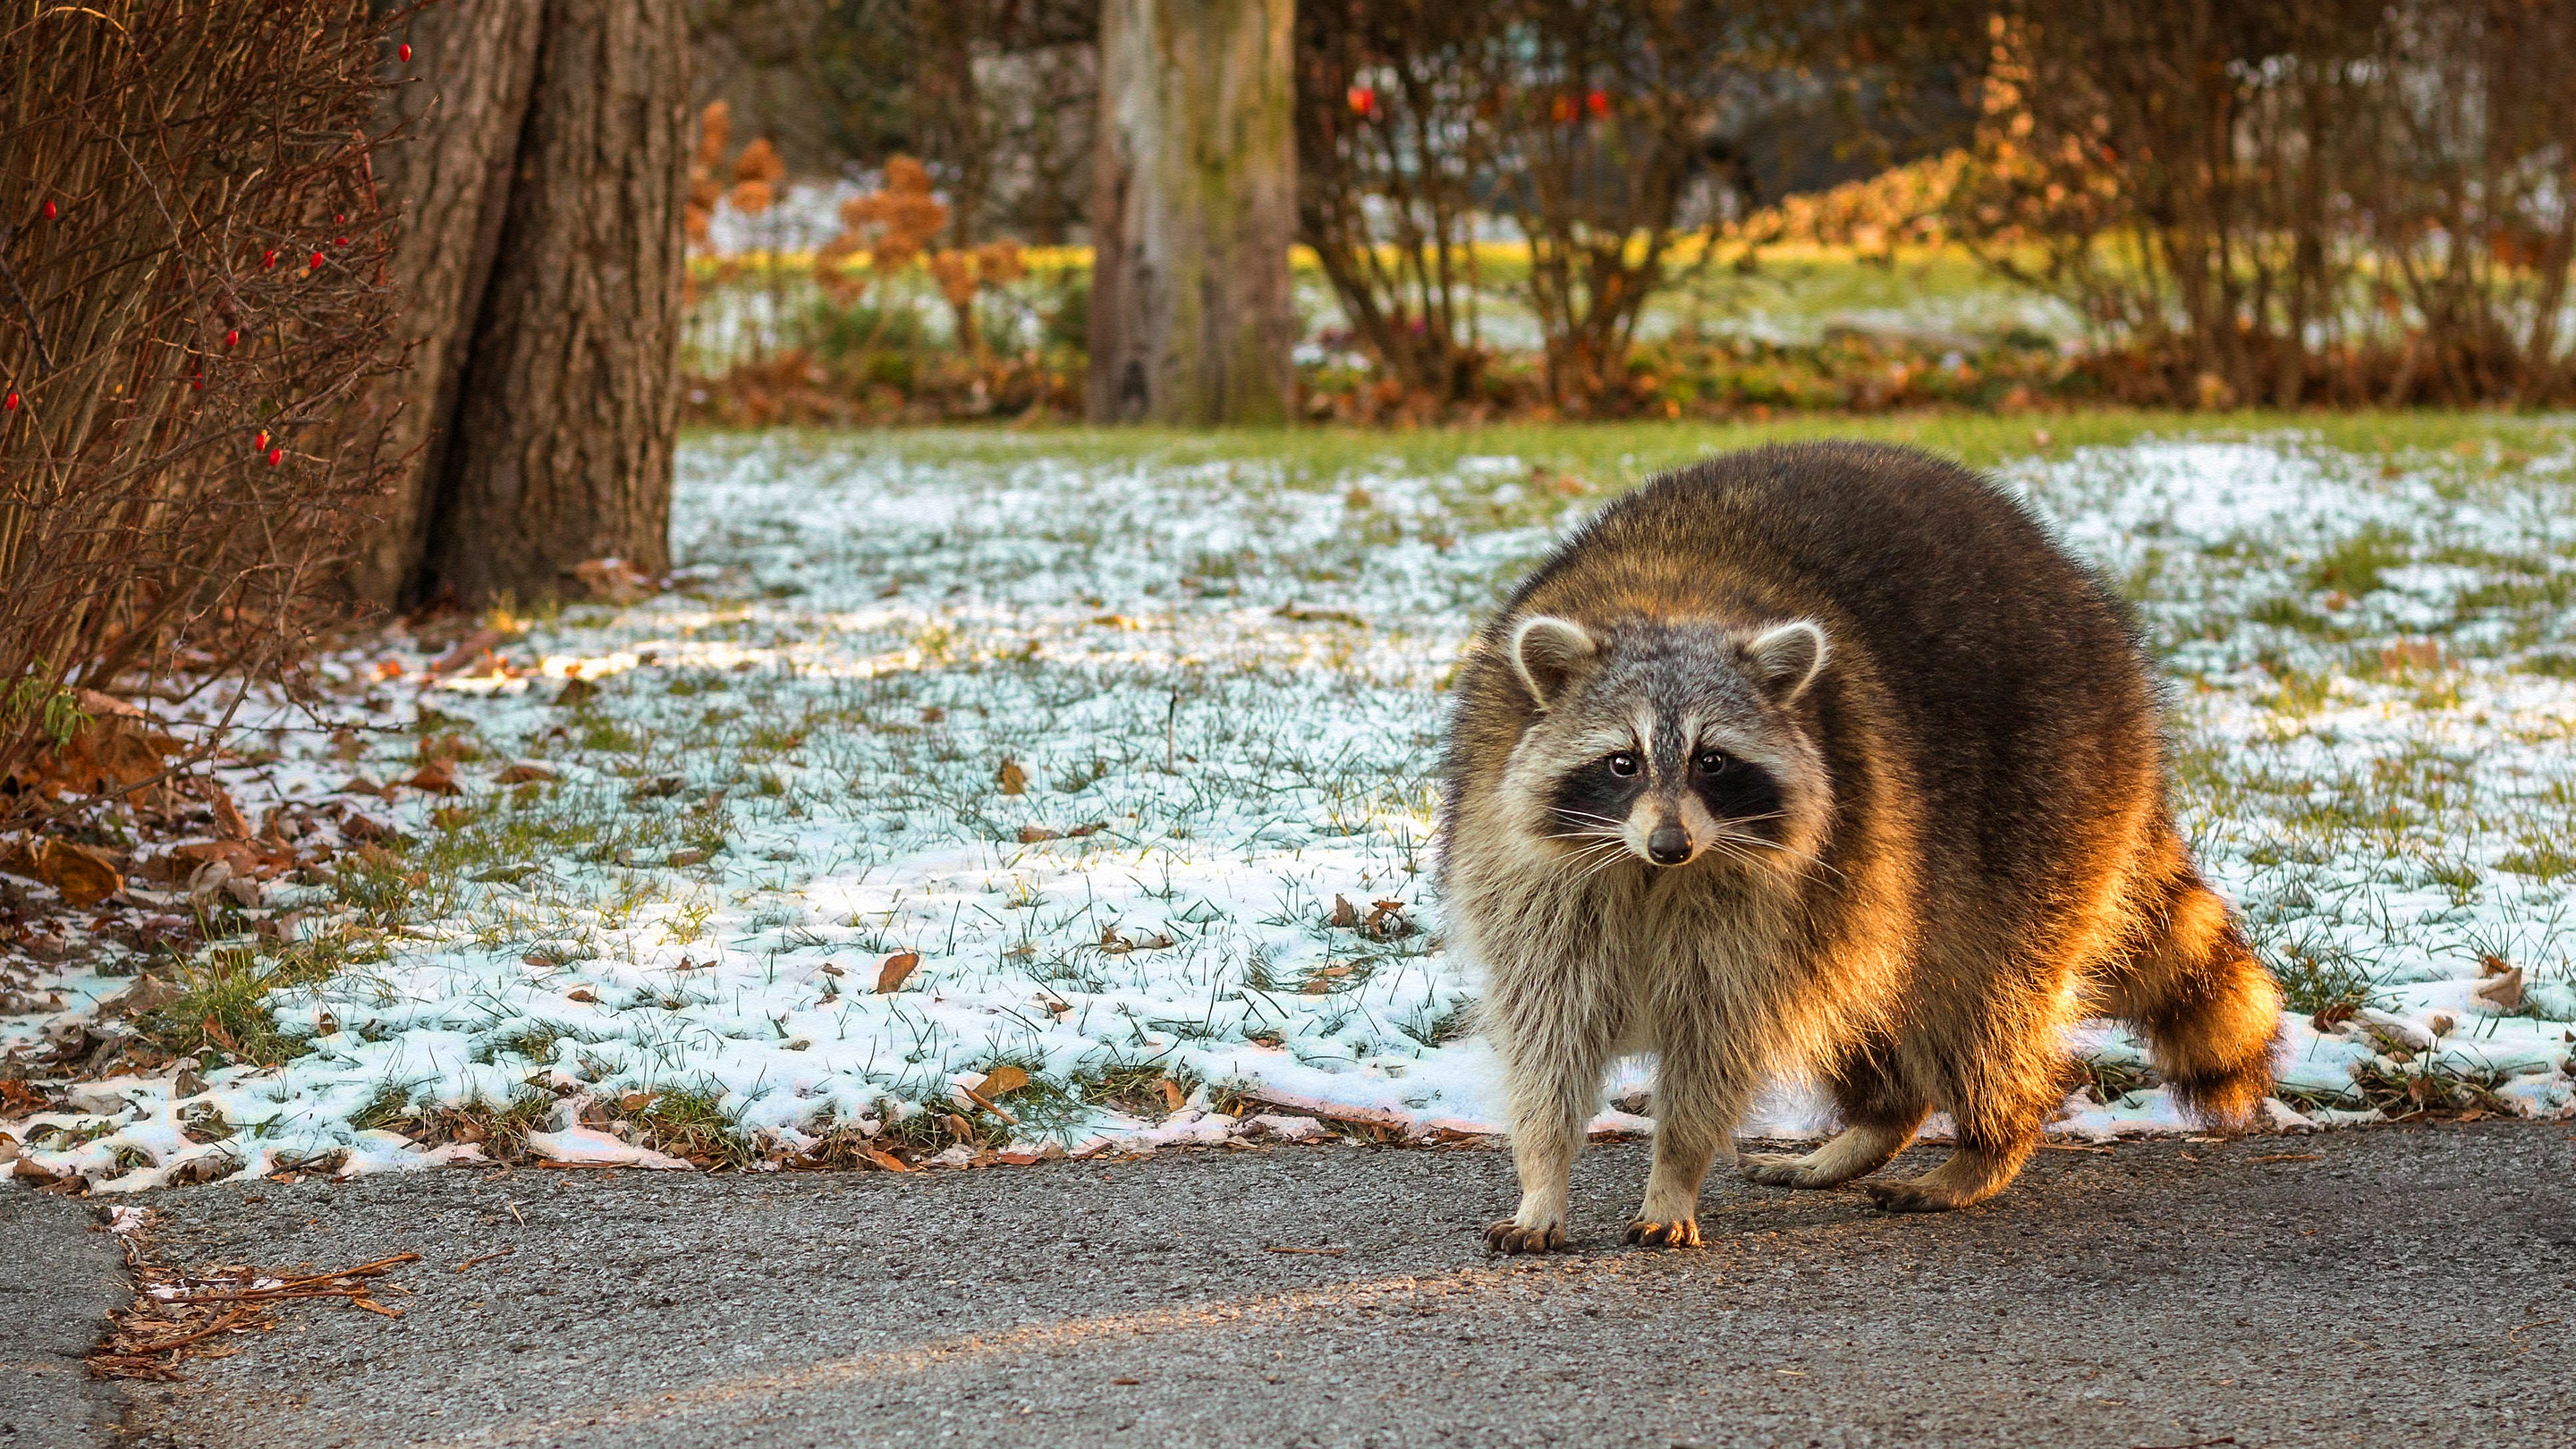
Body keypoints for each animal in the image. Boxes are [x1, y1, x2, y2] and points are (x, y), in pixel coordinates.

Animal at [1442, 443, 2287, 1252]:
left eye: (1712, 761)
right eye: (1624, 762)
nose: (1671, 843)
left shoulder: (1769, 893)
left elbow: (1716, 1041)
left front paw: (1673, 1174)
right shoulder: (1528, 868)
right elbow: (1551, 1032)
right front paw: (1544, 1178)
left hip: (2045, 797)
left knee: (1985, 998)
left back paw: (1987, 1143)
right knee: (1868, 1003)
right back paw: (1882, 1119)